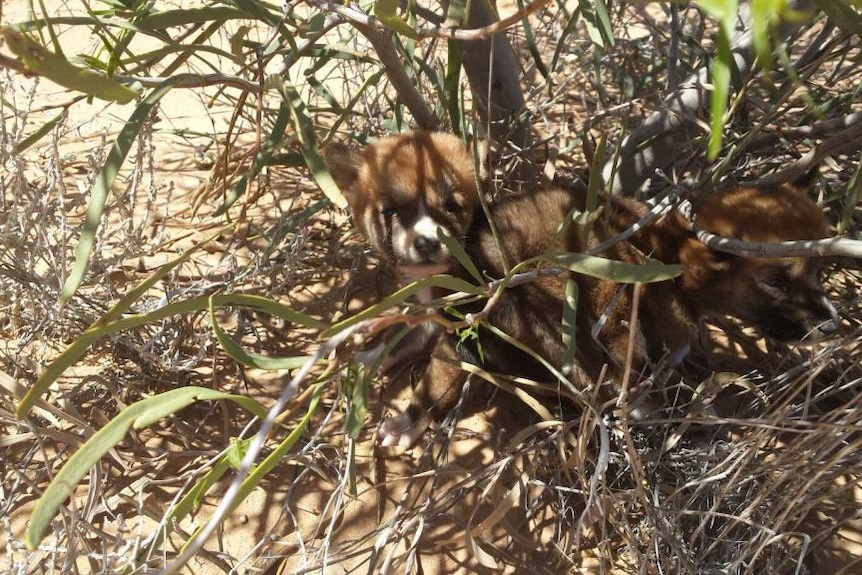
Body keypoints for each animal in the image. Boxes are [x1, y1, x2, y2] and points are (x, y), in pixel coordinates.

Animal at [324, 133, 836, 448]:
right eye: (391, 212)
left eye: (452, 207)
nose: (830, 323)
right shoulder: (434, 311)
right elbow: (402, 334)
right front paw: (365, 354)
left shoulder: (466, 331)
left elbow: (437, 377)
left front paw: (411, 418)